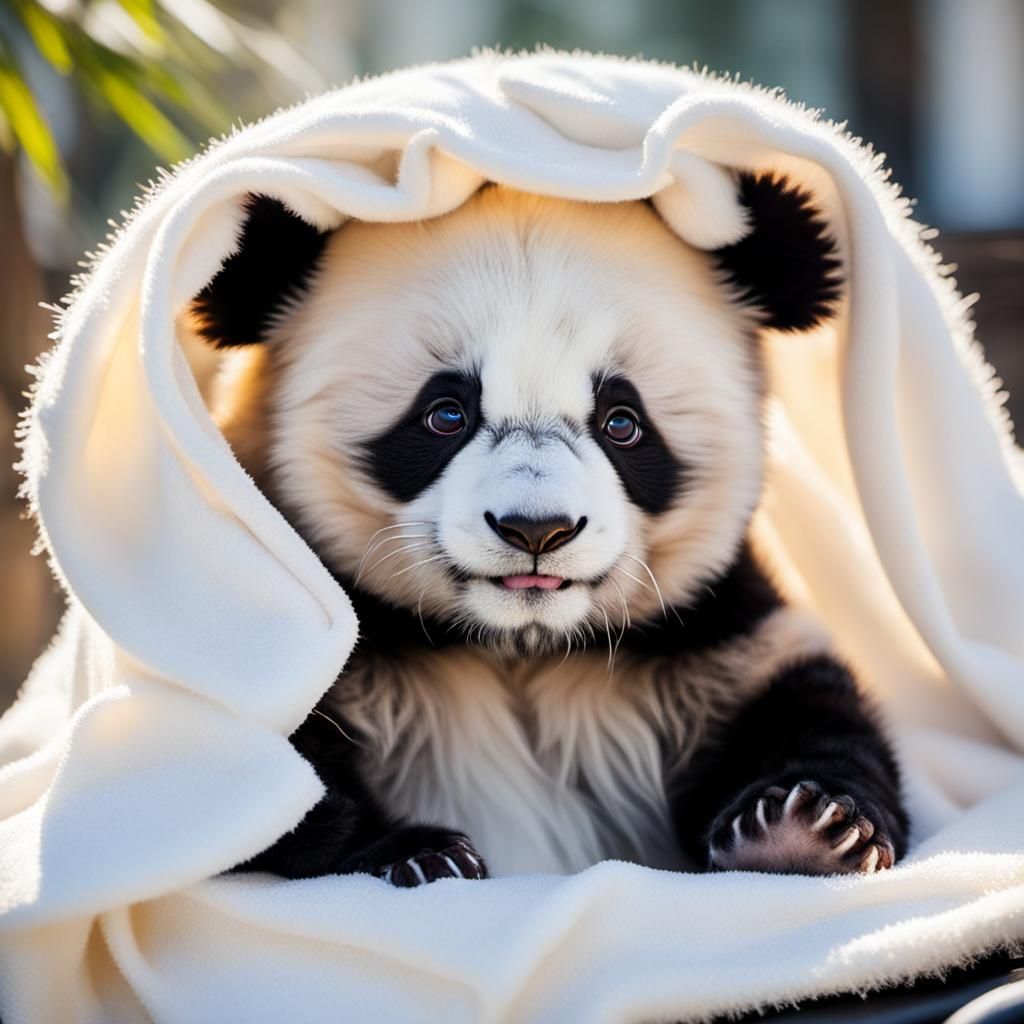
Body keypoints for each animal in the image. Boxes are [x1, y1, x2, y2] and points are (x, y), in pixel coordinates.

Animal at [190, 176, 908, 886]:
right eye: (445, 413)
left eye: (622, 422)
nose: (536, 530)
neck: (520, 648)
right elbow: (265, 784)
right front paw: (417, 852)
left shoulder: (716, 634)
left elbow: (813, 713)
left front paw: (805, 832)